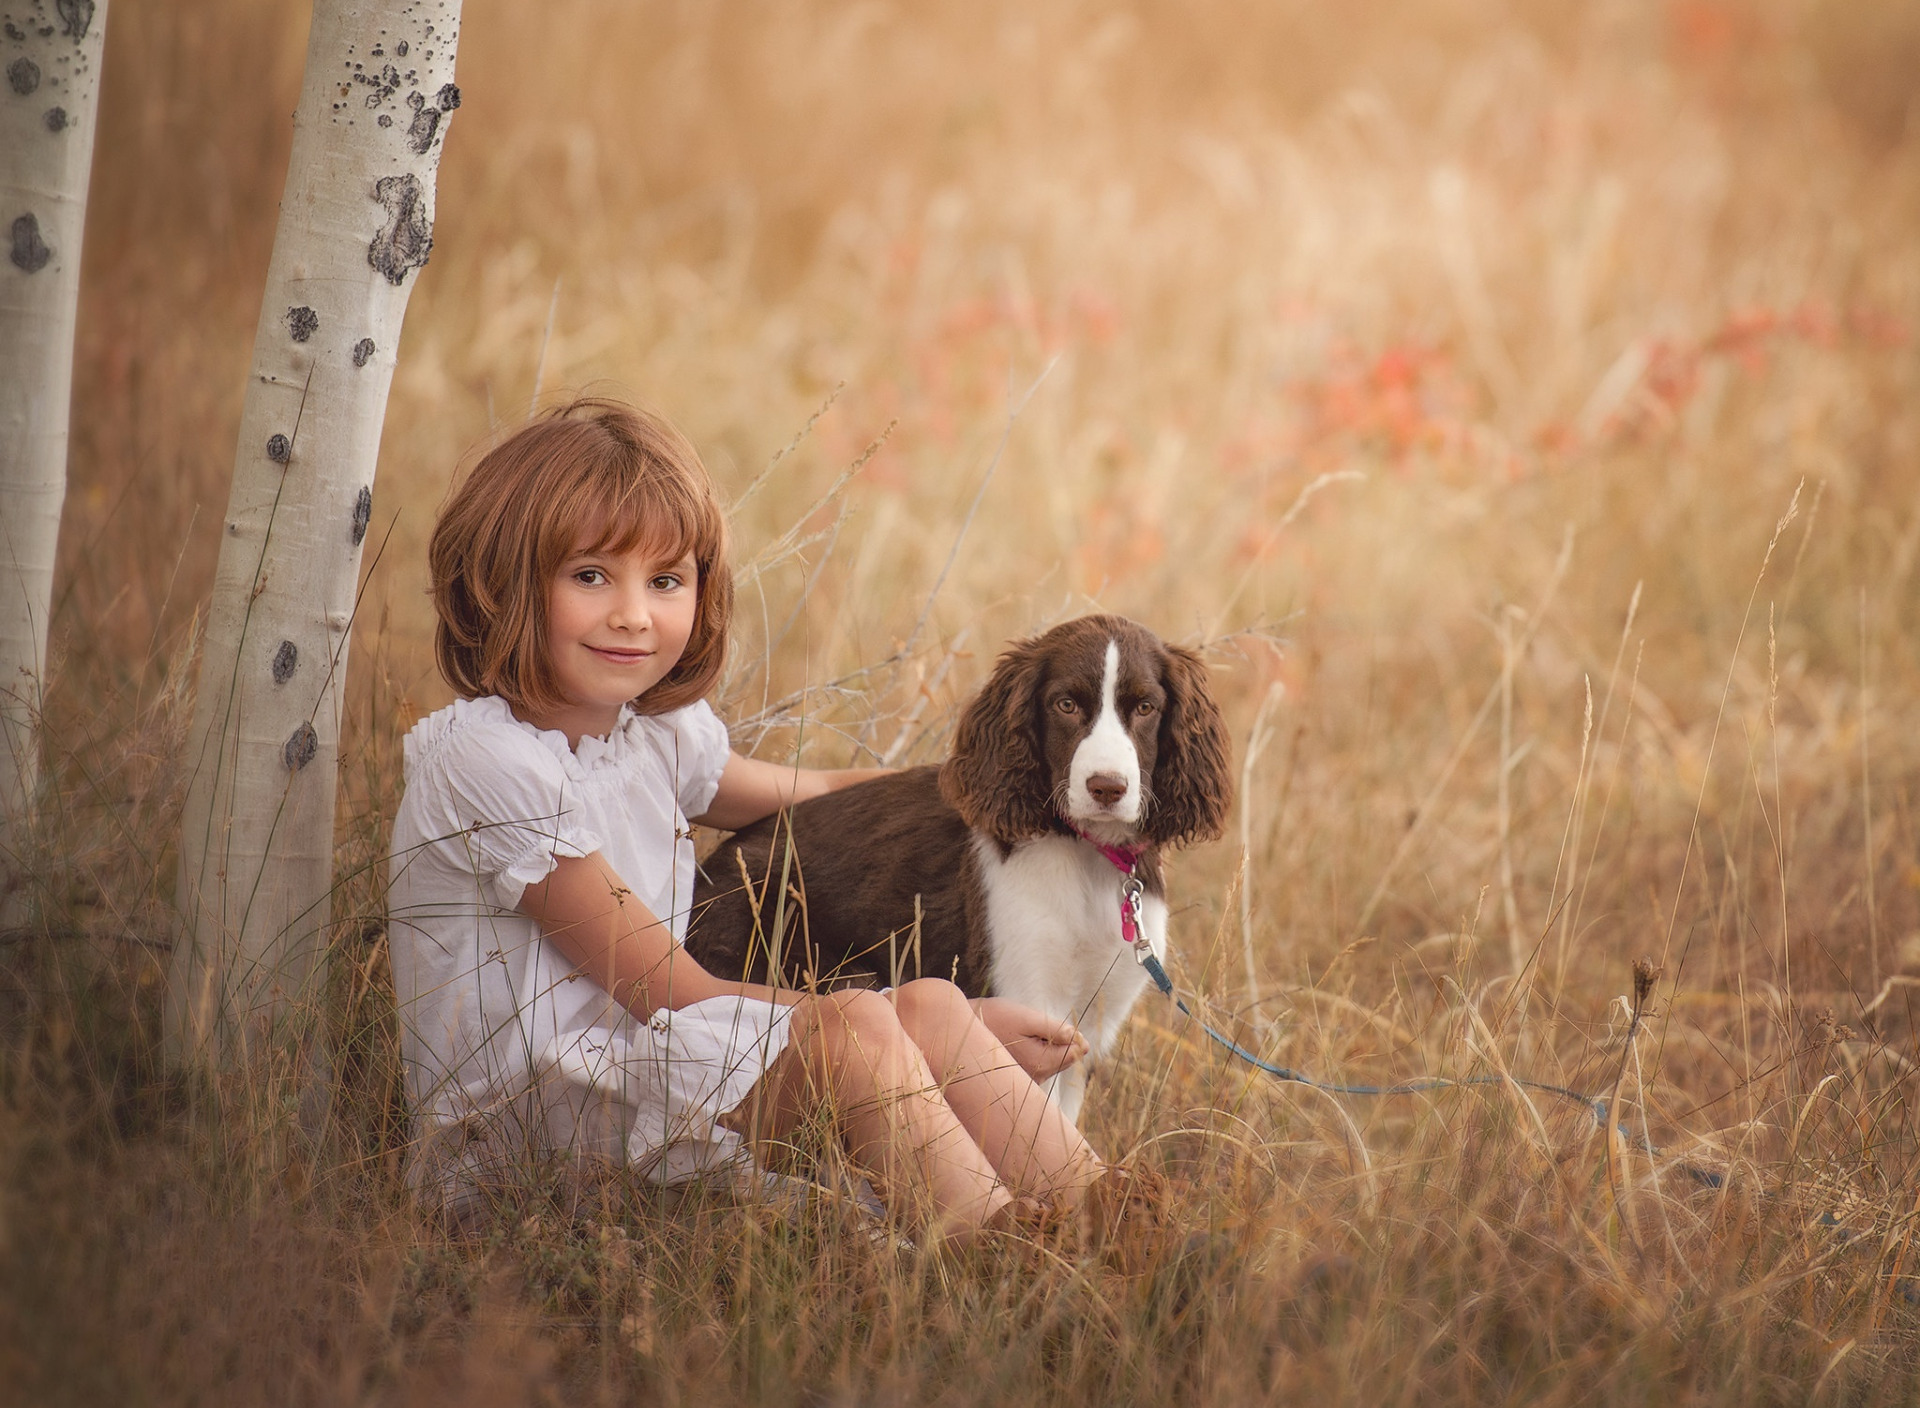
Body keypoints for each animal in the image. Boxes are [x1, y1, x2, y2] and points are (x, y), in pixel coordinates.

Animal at [691, 614, 1228, 1121]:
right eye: (1066, 704)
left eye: (1145, 708)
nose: (1107, 788)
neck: (1089, 857)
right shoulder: (1032, 1005)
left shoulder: (1095, 1023)